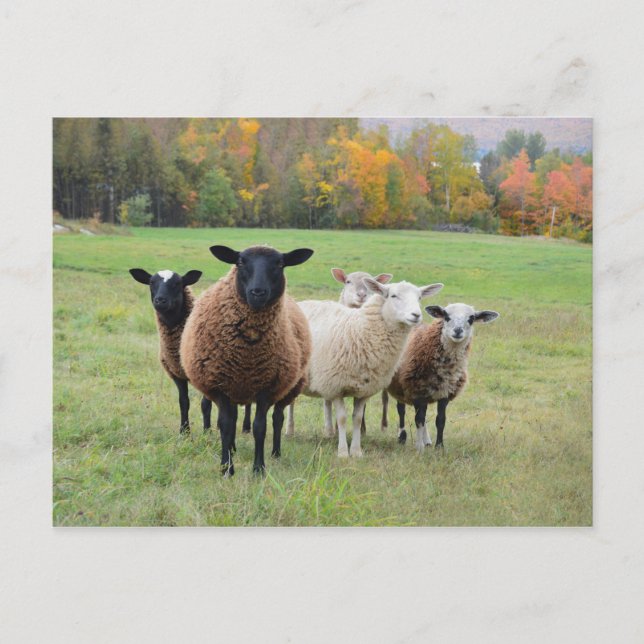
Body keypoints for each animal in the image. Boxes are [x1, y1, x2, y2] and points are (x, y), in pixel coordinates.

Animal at [129, 268, 212, 435]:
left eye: (178, 283)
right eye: (151, 282)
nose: (160, 300)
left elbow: (205, 405)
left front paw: (207, 433)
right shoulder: (176, 373)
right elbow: (184, 402)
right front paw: (184, 432)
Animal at [180, 244, 314, 476]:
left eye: (280, 263)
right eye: (240, 262)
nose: (258, 292)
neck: (247, 355)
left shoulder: (267, 388)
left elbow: (260, 427)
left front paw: (259, 468)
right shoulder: (221, 386)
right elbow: (225, 425)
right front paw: (227, 467)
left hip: (287, 388)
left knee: (278, 418)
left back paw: (276, 453)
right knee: (234, 419)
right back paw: (233, 448)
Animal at [285, 267, 393, 438]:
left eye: (371, 283)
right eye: (348, 281)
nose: (361, 295)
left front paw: (361, 430)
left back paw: (329, 430)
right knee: (292, 401)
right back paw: (290, 429)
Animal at [298, 279, 443, 458]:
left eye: (420, 297)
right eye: (393, 296)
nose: (416, 315)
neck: (359, 331)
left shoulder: (364, 389)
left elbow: (357, 418)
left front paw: (356, 451)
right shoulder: (336, 385)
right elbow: (342, 418)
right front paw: (343, 452)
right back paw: (289, 431)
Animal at [386, 303, 499, 452]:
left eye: (471, 318)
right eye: (446, 315)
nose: (458, 331)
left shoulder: (444, 393)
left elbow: (440, 420)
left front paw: (439, 447)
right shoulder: (417, 391)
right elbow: (418, 419)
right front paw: (419, 448)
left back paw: (427, 440)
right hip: (399, 385)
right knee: (401, 410)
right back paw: (402, 437)